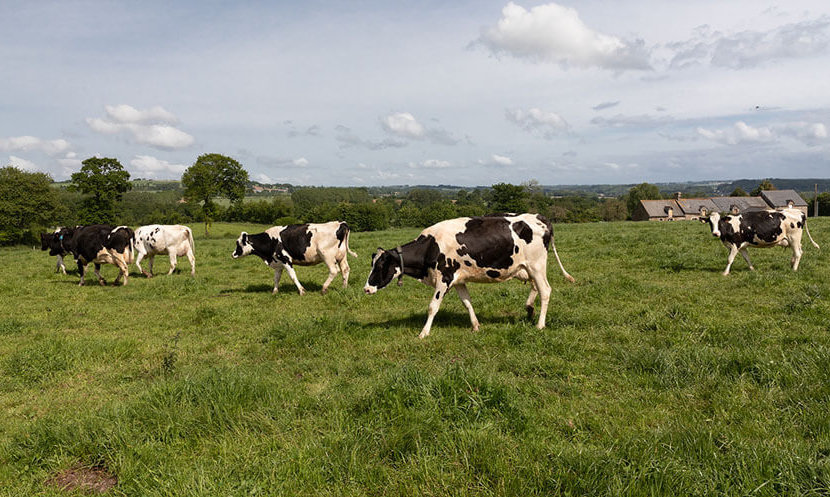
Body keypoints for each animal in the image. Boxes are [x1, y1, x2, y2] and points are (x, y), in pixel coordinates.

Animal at [232, 221, 360, 294]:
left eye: (238, 244)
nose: (233, 254)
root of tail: (340, 223)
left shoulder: (286, 259)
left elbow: (293, 276)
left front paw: (302, 291)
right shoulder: (278, 263)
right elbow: (276, 278)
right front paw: (274, 292)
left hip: (327, 255)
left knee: (334, 270)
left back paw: (324, 289)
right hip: (341, 256)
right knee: (345, 270)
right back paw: (344, 288)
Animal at [368, 212, 576, 338]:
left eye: (380, 266)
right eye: (372, 264)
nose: (366, 288)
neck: (431, 246)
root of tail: (539, 217)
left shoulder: (444, 278)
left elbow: (433, 307)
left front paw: (423, 333)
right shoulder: (458, 280)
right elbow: (467, 302)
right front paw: (475, 325)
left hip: (537, 265)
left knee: (545, 290)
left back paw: (540, 324)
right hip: (527, 268)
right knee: (535, 288)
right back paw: (529, 308)